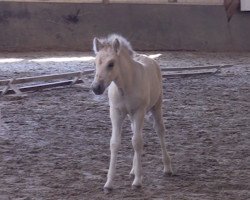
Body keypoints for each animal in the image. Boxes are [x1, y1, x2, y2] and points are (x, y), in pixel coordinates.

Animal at [91, 34, 173, 192]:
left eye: (111, 64)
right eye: (96, 63)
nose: (96, 88)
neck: (125, 86)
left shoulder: (139, 111)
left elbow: (137, 142)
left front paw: (138, 181)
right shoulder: (116, 112)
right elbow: (115, 143)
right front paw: (109, 183)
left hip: (156, 106)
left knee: (159, 131)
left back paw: (167, 168)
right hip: (131, 116)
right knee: (135, 133)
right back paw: (133, 170)